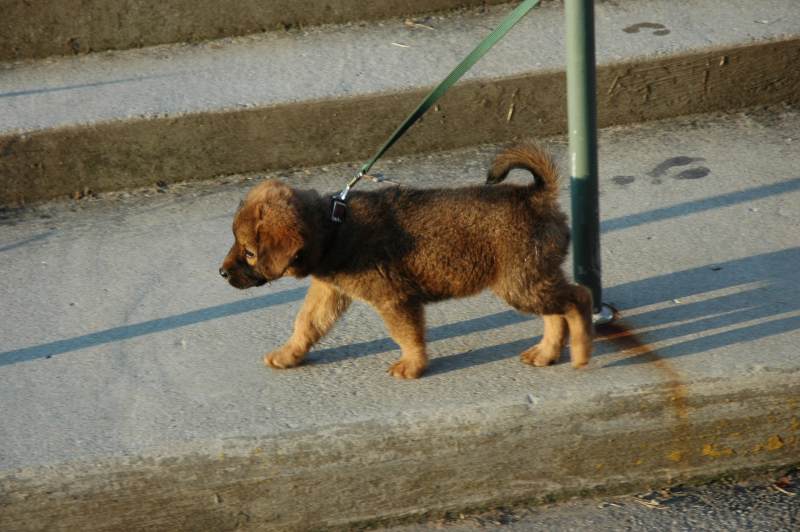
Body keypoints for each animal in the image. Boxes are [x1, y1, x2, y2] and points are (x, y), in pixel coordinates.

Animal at [220, 145, 592, 378]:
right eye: (237, 243)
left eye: (249, 252)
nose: (221, 272)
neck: (333, 227)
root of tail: (536, 196)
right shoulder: (328, 291)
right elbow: (306, 324)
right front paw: (288, 354)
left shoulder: (394, 299)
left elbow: (407, 335)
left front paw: (412, 366)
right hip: (529, 279)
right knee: (557, 312)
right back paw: (546, 352)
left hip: (519, 283)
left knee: (578, 298)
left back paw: (581, 350)